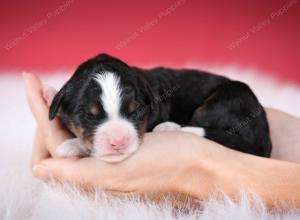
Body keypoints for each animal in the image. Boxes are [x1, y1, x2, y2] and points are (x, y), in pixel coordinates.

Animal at [48, 53, 272, 162]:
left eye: (136, 111)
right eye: (88, 115)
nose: (118, 141)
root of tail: (265, 141)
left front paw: (72, 145)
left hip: (228, 99)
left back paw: (169, 127)